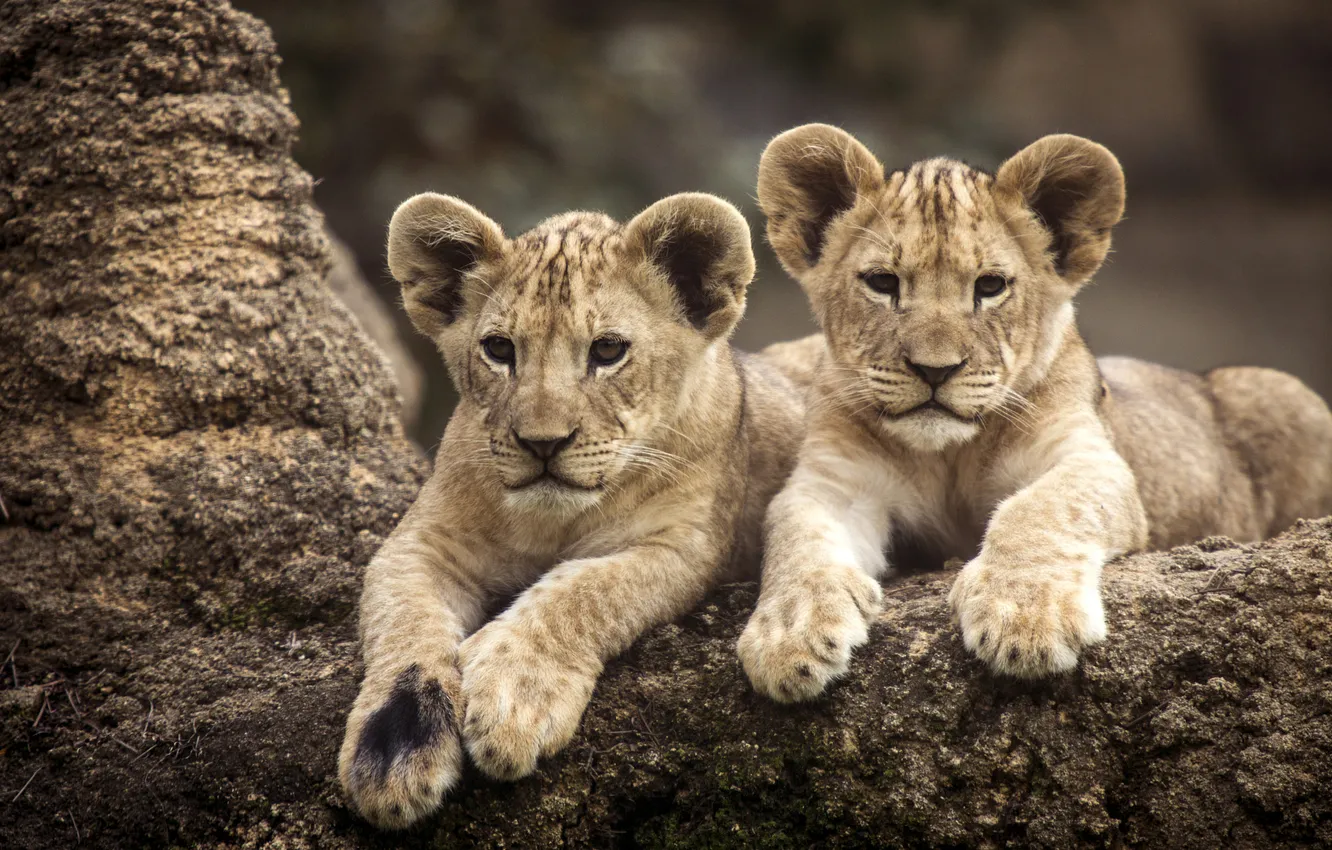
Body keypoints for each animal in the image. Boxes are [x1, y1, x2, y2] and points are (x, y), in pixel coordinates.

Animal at [338, 191, 808, 828]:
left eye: (607, 350)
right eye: (499, 349)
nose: (543, 443)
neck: (553, 522)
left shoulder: (683, 545)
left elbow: (582, 593)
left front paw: (514, 693)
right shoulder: (421, 541)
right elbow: (404, 626)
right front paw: (393, 755)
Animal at [737, 124, 1332, 699]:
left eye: (990, 286)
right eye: (883, 282)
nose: (935, 370)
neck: (947, 456)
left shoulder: (1090, 459)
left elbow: (1040, 510)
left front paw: (1025, 620)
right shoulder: (833, 483)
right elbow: (797, 541)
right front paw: (788, 637)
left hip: (1281, 390)